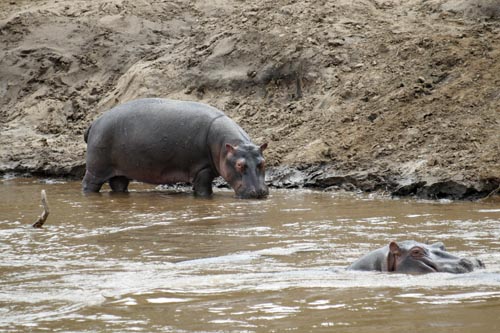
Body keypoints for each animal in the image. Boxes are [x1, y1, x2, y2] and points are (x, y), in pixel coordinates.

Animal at [82, 98, 270, 197]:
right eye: (239, 165)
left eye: (263, 163)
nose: (260, 192)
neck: (227, 147)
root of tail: (95, 122)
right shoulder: (202, 169)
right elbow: (204, 191)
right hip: (96, 169)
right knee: (89, 184)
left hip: (120, 172)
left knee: (119, 185)